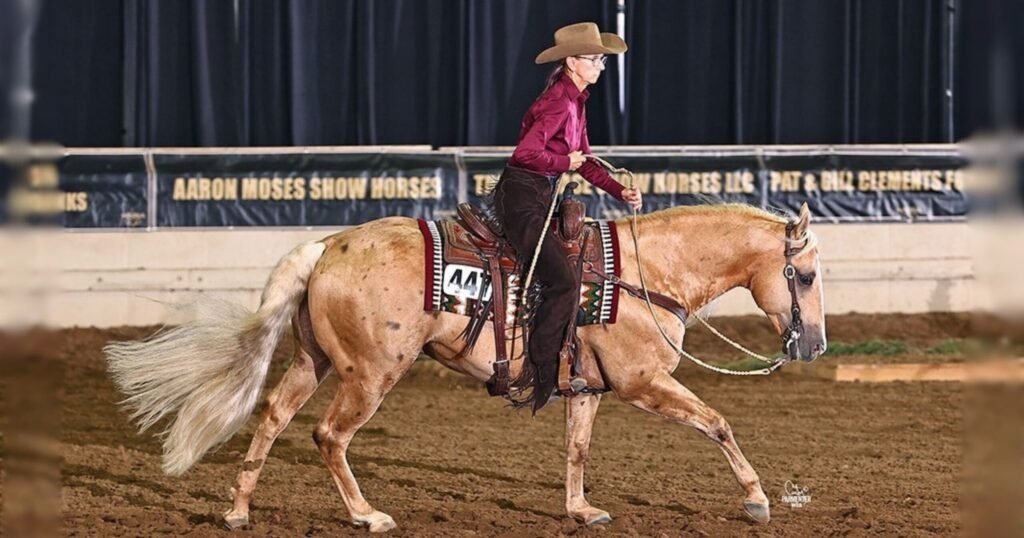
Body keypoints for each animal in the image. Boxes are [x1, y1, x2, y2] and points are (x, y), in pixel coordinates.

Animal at [104, 201, 827, 533]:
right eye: (807, 275)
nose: (814, 346)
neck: (646, 275)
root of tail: (328, 245)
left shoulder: (588, 387)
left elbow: (577, 449)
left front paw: (580, 510)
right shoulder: (644, 383)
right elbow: (718, 422)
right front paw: (758, 499)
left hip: (314, 362)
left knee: (274, 419)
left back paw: (237, 511)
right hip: (371, 374)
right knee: (328, 436)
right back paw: (368, 515)